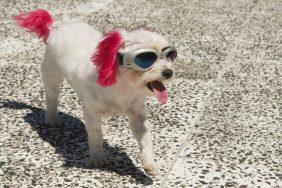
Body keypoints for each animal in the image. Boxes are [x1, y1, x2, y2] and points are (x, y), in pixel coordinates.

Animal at [14, 9, 177, 176]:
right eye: (146, 58)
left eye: (170, 57)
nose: (168, 72)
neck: (123, 86)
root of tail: (58, 29)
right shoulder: (91, 113)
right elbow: (96, 135)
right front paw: (98, 157)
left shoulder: (137, 114)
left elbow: (145, 139)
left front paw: (149, 163)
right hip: (52, 76)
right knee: (52, 97)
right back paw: (52, 118)